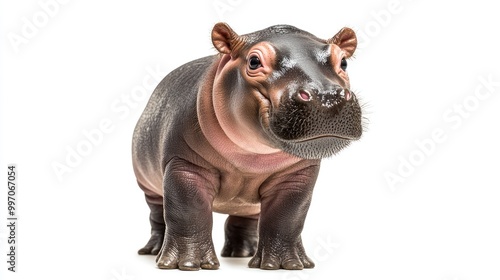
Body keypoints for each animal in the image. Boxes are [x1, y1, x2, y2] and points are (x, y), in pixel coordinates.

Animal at [131, 22, 362, 272]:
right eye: (253, 61)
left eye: (343, 62)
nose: (328, 96)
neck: (252, 157)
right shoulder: (185, 165)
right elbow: (187, 212)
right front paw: (188, 264)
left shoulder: (296, 176)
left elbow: (287, 218)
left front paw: (286, 265)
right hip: (150, 186)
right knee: (158, 216)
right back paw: (153, 251)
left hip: (247, 205)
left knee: (245, 220)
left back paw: (242, 253)